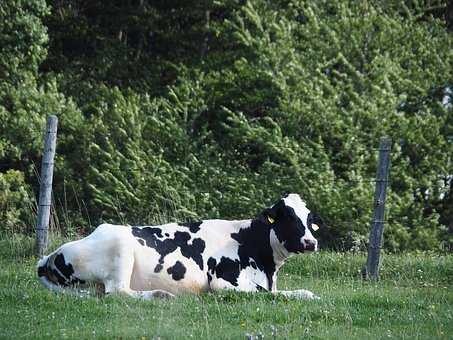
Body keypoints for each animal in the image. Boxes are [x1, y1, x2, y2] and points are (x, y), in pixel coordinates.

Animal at [38, 194, 322, 300]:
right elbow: (268, 294)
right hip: (121, 250)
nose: (311, 242)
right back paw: (160, 295)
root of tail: (49, 256)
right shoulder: (223, 282)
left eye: (309, 220)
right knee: (117, 292)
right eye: (289, 218)